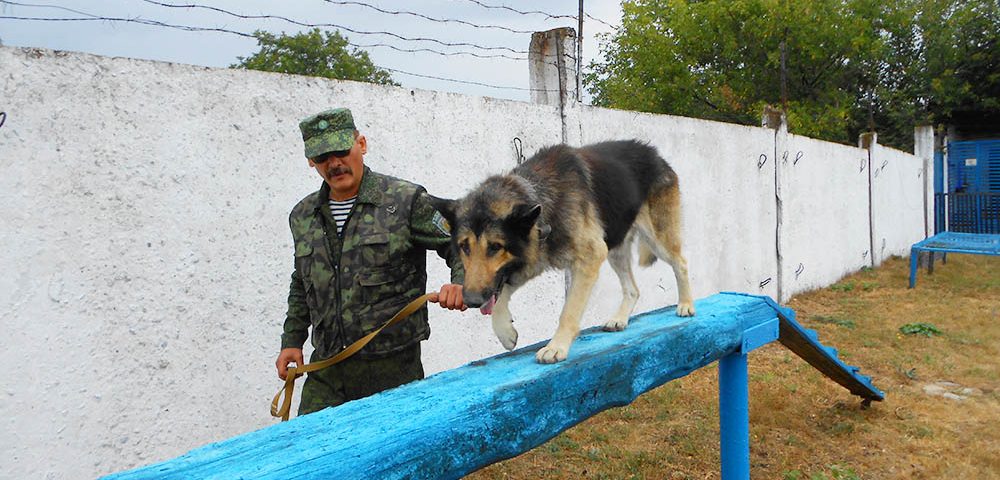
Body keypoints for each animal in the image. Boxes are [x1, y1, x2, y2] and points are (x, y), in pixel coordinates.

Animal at [430, 139, 696, 364]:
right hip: (615, 250)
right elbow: (501, 291)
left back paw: (686, 304)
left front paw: (556, 346)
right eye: (464, 246)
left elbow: (568, 312)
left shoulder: (589, 258)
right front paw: (504, 330)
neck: (537, 194)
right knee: (632, 289)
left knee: (681, 263)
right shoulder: (532, 256)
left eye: (495, 247)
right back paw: (620, 319)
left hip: (656, 239)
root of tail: (654, 154)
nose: (471, 301)